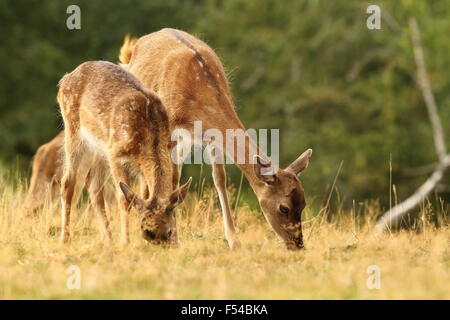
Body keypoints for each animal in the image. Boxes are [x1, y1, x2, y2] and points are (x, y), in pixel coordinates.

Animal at [57, 60, 191, 245]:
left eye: (169, 232)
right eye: (147, 232)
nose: (156, 245)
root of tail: (65, 79)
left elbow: (144, 194)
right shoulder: (116, 154)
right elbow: (123, 199)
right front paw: (126, 241)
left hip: (100, 146)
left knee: (93, 185)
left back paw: (108, 240)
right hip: (74, 129)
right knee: (68, 181)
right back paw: (65, 238)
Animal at [118, 29, 312, 250]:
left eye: (304, 203)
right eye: (284, 207)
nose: (297, 244)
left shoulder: (212, 137)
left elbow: (219, 178)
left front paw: (234, 241)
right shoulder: (170, 131)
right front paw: (173, 237)